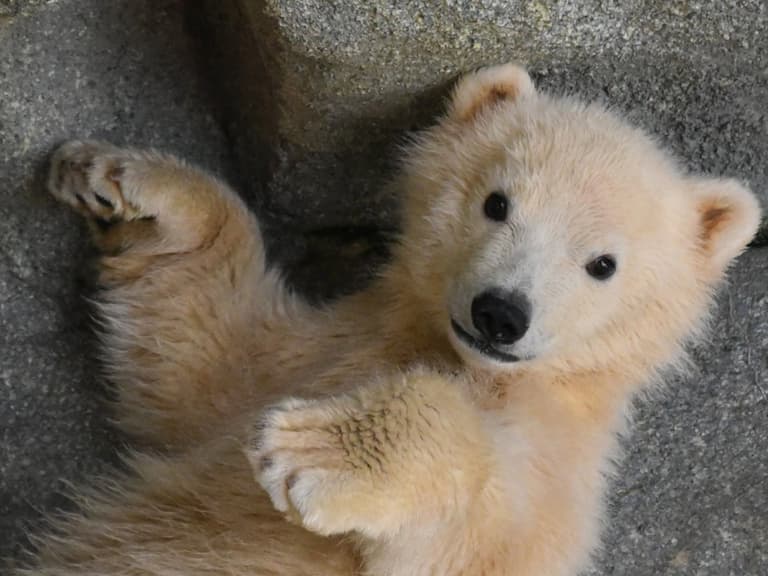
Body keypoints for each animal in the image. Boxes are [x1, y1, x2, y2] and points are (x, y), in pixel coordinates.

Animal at [15, 63, 761, 576]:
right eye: (497, 202)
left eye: (602, 264)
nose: (501, 312)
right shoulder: (322, 348)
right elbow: (204, 359)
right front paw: (119, 183)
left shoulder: (550, 486)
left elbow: (473, 528)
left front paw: (314, 451)